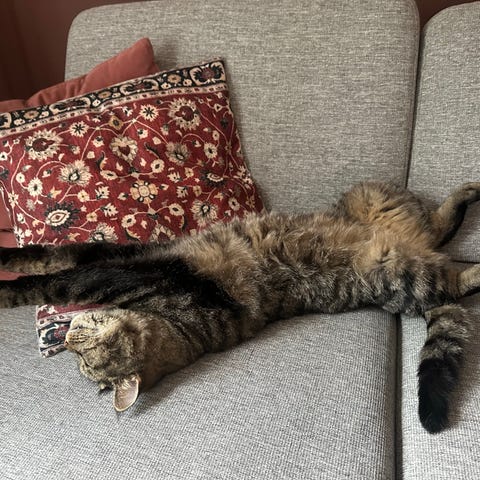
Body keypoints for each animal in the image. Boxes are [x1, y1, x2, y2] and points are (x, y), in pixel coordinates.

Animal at [1, 181, 480, 433]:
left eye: (80, 344)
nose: (67, 334)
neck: (175, 325)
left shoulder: (133, 264)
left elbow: (52, 269)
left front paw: (6, 276)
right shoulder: (132, 266)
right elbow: (55, 264)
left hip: (387, 235)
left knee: (450, 263)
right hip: (398, 251)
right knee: (444, 249)